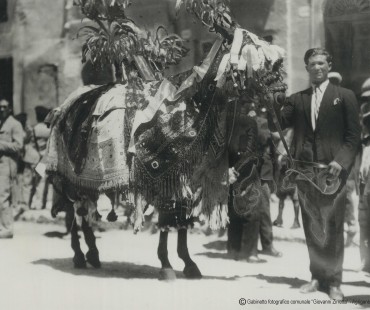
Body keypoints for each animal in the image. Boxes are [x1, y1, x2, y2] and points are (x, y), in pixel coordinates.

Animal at [42, 0, 286, 280]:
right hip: (69, 177)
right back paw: (79, 255)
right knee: (74, 212)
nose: (280, 96)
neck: (187, 104)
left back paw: (92, 253)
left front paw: (187, 262)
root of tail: (66, 106)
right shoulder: (162, 174)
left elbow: (181, 220)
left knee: (84, 209)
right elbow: (168, 219)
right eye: (257, 59)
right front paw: (167, 265)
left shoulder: (184, 177)